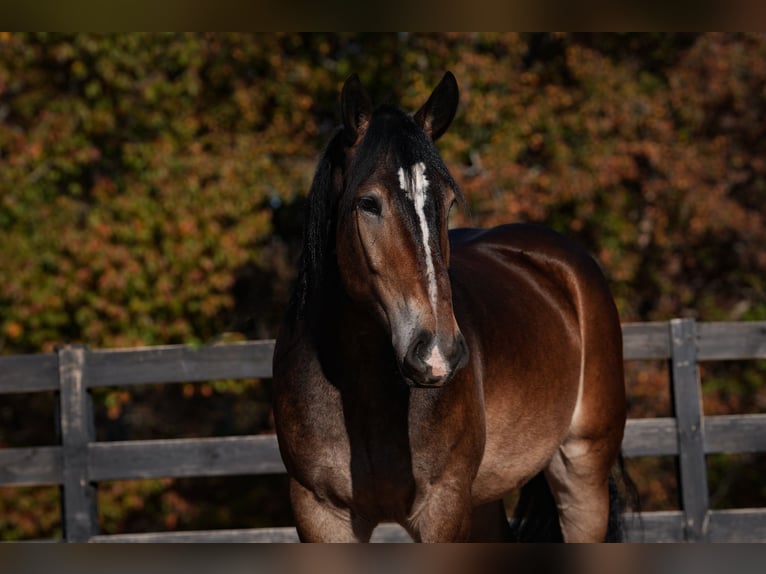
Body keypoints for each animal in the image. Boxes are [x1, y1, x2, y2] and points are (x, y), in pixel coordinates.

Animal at [272, 72, 627, 542]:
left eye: (448, 202)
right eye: (368, 203)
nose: (437, 353)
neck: (361, 388)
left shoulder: (442, 507)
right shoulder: (319, 513)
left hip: (581, 474)